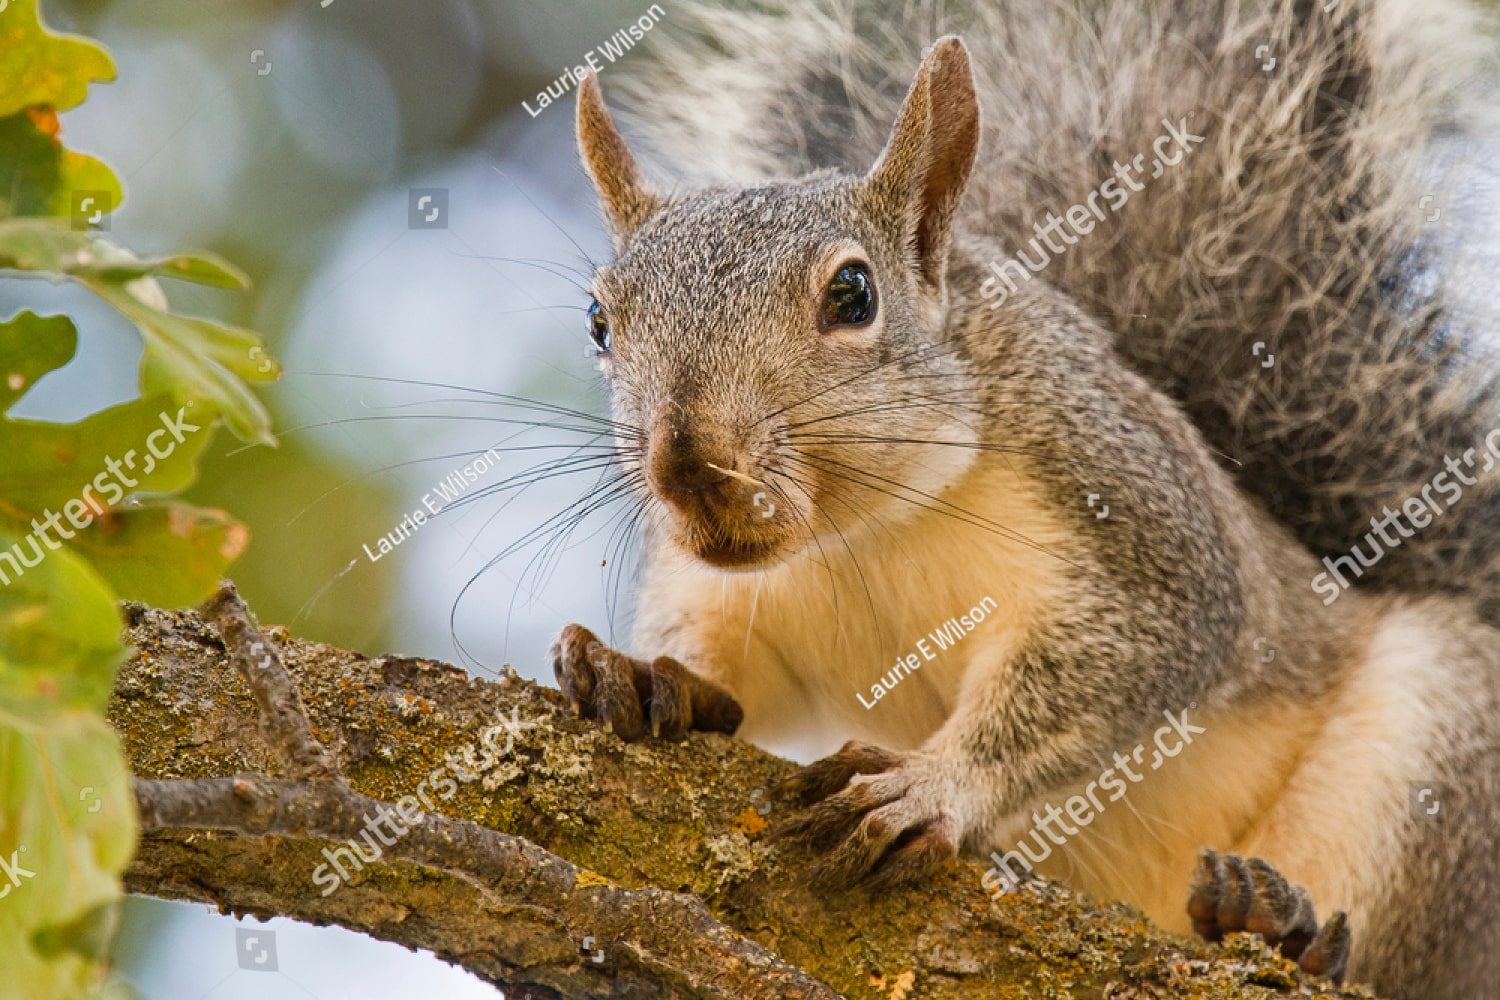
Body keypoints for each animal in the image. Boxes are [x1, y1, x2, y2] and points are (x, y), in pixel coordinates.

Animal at [547, 1, 1500, 996]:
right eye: (600, 321)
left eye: (853, 293)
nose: (687, 463)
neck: (864, 532)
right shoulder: (736, 595)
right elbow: (735, 671)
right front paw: (653, 673)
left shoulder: (1131, 515)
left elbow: (1134, 648)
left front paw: (935, 783)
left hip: (1434, 748)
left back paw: (1287, 929)